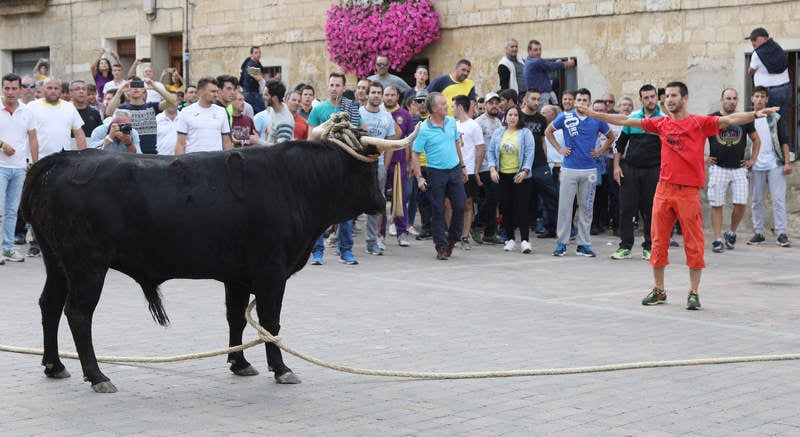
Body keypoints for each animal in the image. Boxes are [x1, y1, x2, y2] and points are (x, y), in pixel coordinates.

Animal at [20, 141, 390, 392]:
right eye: (370, 170)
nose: (382, 201)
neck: (292, 183)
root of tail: (63, 158)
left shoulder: (238, 277)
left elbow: (235, 317)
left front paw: (240, 362)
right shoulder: (271, 273)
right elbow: (270, 322)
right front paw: (282, 368)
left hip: (58, 263)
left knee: (49, 306)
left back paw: (54, 365)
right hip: (87, 265)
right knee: (78, 314)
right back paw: (97, 375)